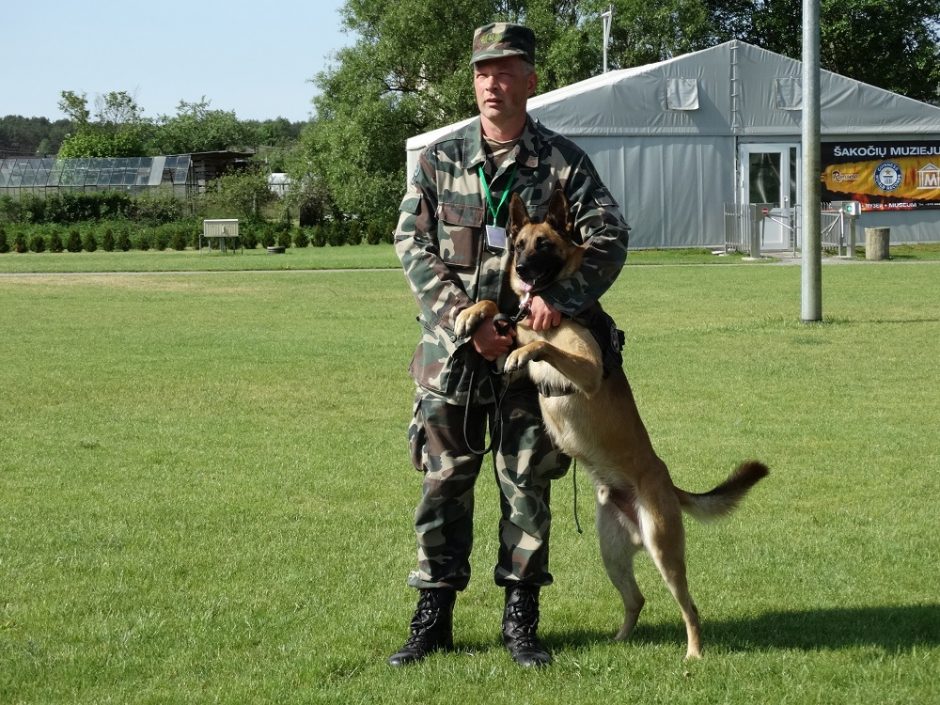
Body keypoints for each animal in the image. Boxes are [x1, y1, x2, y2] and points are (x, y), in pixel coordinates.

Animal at [452, 188, 768, 660]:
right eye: (519, 244)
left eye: (543, 244)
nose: (522, 270)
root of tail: (665, 483)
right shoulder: (509, 335)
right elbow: (497, 313)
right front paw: (471, 314)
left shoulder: (586, 370)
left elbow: (542, 346)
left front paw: (522, 349)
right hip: (612, 553)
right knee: (637, 599)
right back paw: (619, 640)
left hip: (663, 550)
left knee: (690, 606)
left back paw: (693, 653)